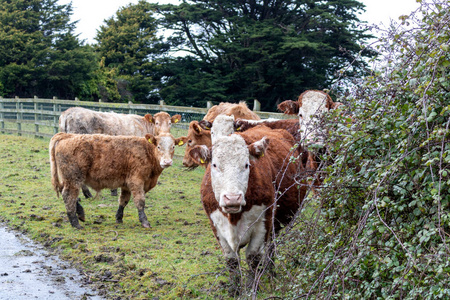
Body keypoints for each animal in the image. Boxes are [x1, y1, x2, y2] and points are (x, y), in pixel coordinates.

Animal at [49, 132, 183, 229]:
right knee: (69, 196)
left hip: (68, 179)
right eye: (159, 146)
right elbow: (140, 201)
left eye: (173, 147)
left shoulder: (126, 184)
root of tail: (67, 135)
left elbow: (123, 201)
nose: (167, 162)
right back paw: (75, 223)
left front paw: (119, 218)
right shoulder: (136, 181)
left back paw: (80, 214)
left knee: (66, 193)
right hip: (74, 178)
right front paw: (144, 222)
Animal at [188, 125, 304, 294]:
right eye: (214, 165)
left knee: (271, 248)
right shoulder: (216, 226)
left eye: (246, 165)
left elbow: (253, 257)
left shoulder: (263, 223)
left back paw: (271, 274)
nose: (232, 198)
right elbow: (231, 261)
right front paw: (234, 291)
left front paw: (252, 288)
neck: (233, 217)